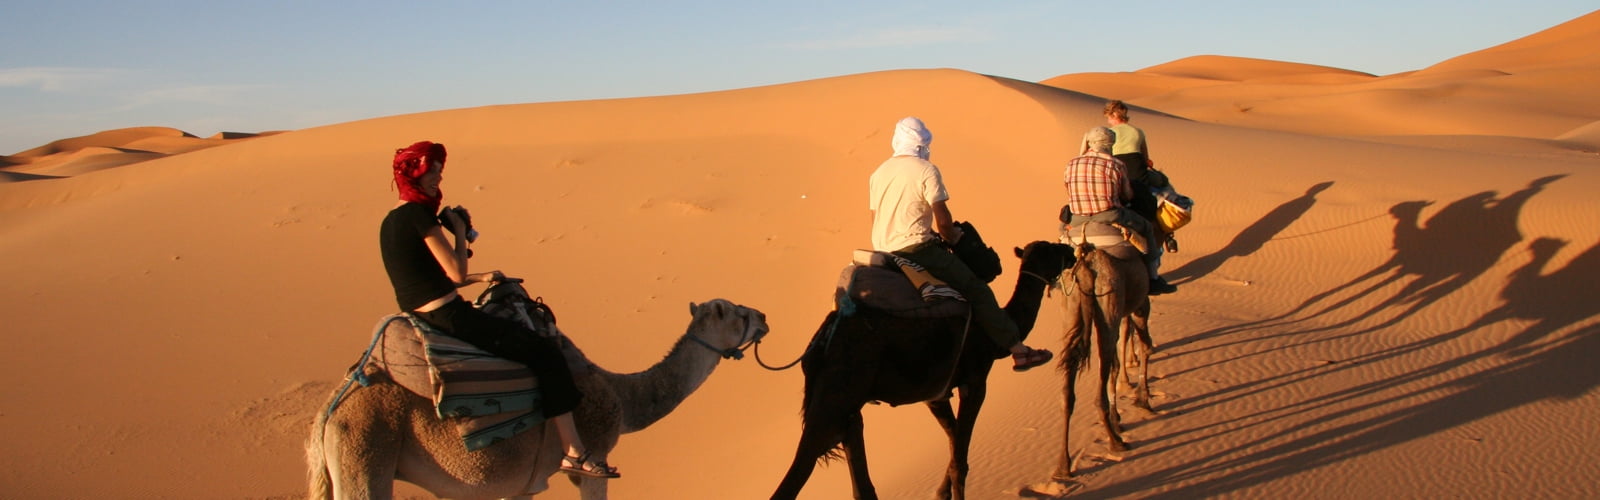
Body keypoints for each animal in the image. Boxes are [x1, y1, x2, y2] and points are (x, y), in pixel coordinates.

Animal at [308, 298, 771, 496]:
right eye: (737, 313)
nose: (765, 316)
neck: (625, 398)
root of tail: (328, 414)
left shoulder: (523, 483)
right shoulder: (596, 461)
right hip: (364, 451)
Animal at [771, 241, 1075, 500]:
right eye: (1051, 249)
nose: (1071, 250)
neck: (991, 338)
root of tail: (823, 339)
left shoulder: (936, 393)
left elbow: (955, 443)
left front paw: (941, 492)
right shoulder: (975, 380)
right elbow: (959, 458)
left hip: (848, 406)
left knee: (859, 476)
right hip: (835, 397)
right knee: (799, 468)